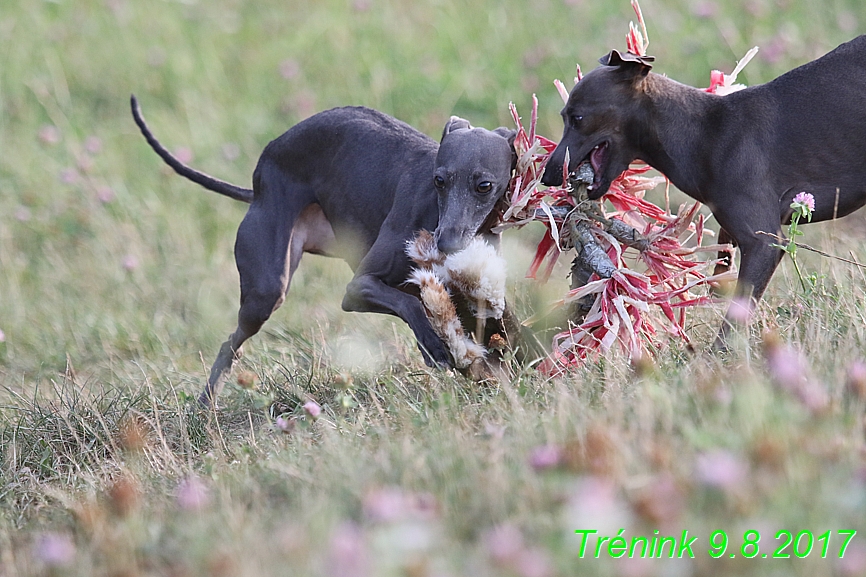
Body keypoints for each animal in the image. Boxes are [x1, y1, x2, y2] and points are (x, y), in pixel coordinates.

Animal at [544, 38, 864, 344]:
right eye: (563, 115)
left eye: (577, 118)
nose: (549, 176)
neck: (703, 134)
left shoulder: (765, 243)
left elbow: (733, 320)